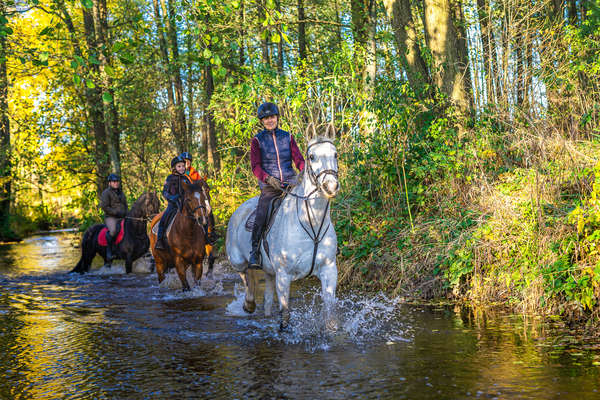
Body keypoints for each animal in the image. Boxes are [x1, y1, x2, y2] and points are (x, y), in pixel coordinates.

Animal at [226, 123, 340, 330]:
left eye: (335, 154)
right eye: (312, 157)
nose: (330, 186)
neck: (311, 225)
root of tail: (239, 209)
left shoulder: (329, 270)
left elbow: (330, 315)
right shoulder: (284, 275)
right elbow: (285, 316)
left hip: (270, 272)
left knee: (266, 296)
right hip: (237, 260)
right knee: (246, 275)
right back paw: (248, 304)